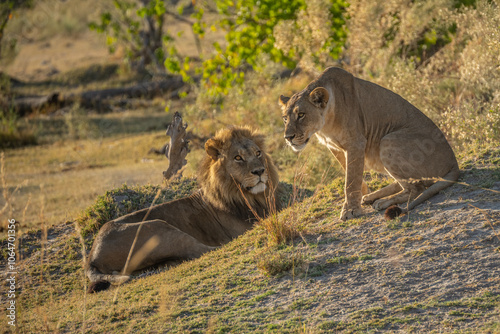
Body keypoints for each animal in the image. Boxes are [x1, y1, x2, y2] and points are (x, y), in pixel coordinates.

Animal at [87, 126, 280, 290]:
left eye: (258, 153)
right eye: (238, 158)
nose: (260, 171)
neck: (248, 196)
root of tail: (92, 257)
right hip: (159, 228)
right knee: (204, 250)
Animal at [280, 66, 458, 220]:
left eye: (301, 115)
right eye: (285, 119)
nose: (288, 137)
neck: (325, 125)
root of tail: (454, 163)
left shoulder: (355, 143)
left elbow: (350, 180)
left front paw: (351, 210)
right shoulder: (334, 147)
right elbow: (350, 172)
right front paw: (360, 195)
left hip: (387, 141)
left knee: (416, 188)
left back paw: (383, 202)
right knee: (407, 183)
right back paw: (370, 197)